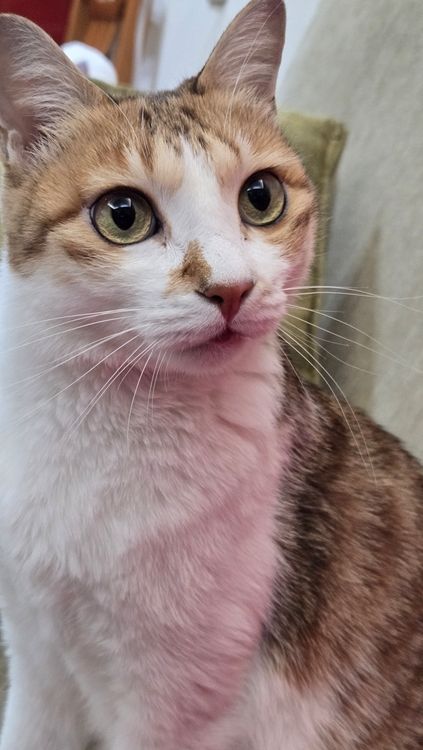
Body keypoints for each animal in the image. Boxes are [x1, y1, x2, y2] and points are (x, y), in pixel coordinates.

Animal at [0, 0, 421, 748]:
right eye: (122, 215)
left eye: (260, 197)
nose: (231, 288)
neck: (104, 413)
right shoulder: (37, 658)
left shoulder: (172, 703)